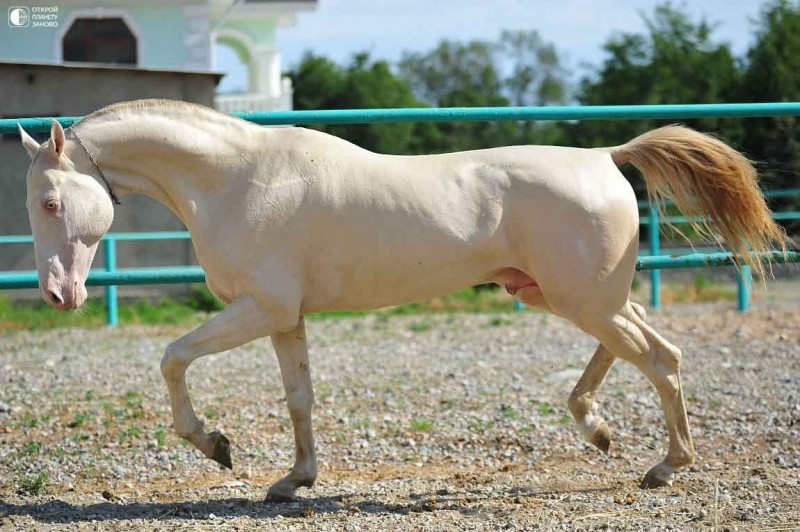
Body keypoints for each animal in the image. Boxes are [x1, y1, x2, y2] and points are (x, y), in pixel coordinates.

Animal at [18, 101, 788, 502]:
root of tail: (605, 157)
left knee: (662, 359)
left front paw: (217, 447)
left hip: (582, 297)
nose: (58, 294)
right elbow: (299, 399)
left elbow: (173, 358)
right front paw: (292, 481)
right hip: (566, 294)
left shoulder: (260, 309)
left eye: (51, 202)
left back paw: (665, 466)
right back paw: (595, 428)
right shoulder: (285, 318)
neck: (236, 179)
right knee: (643, 342)